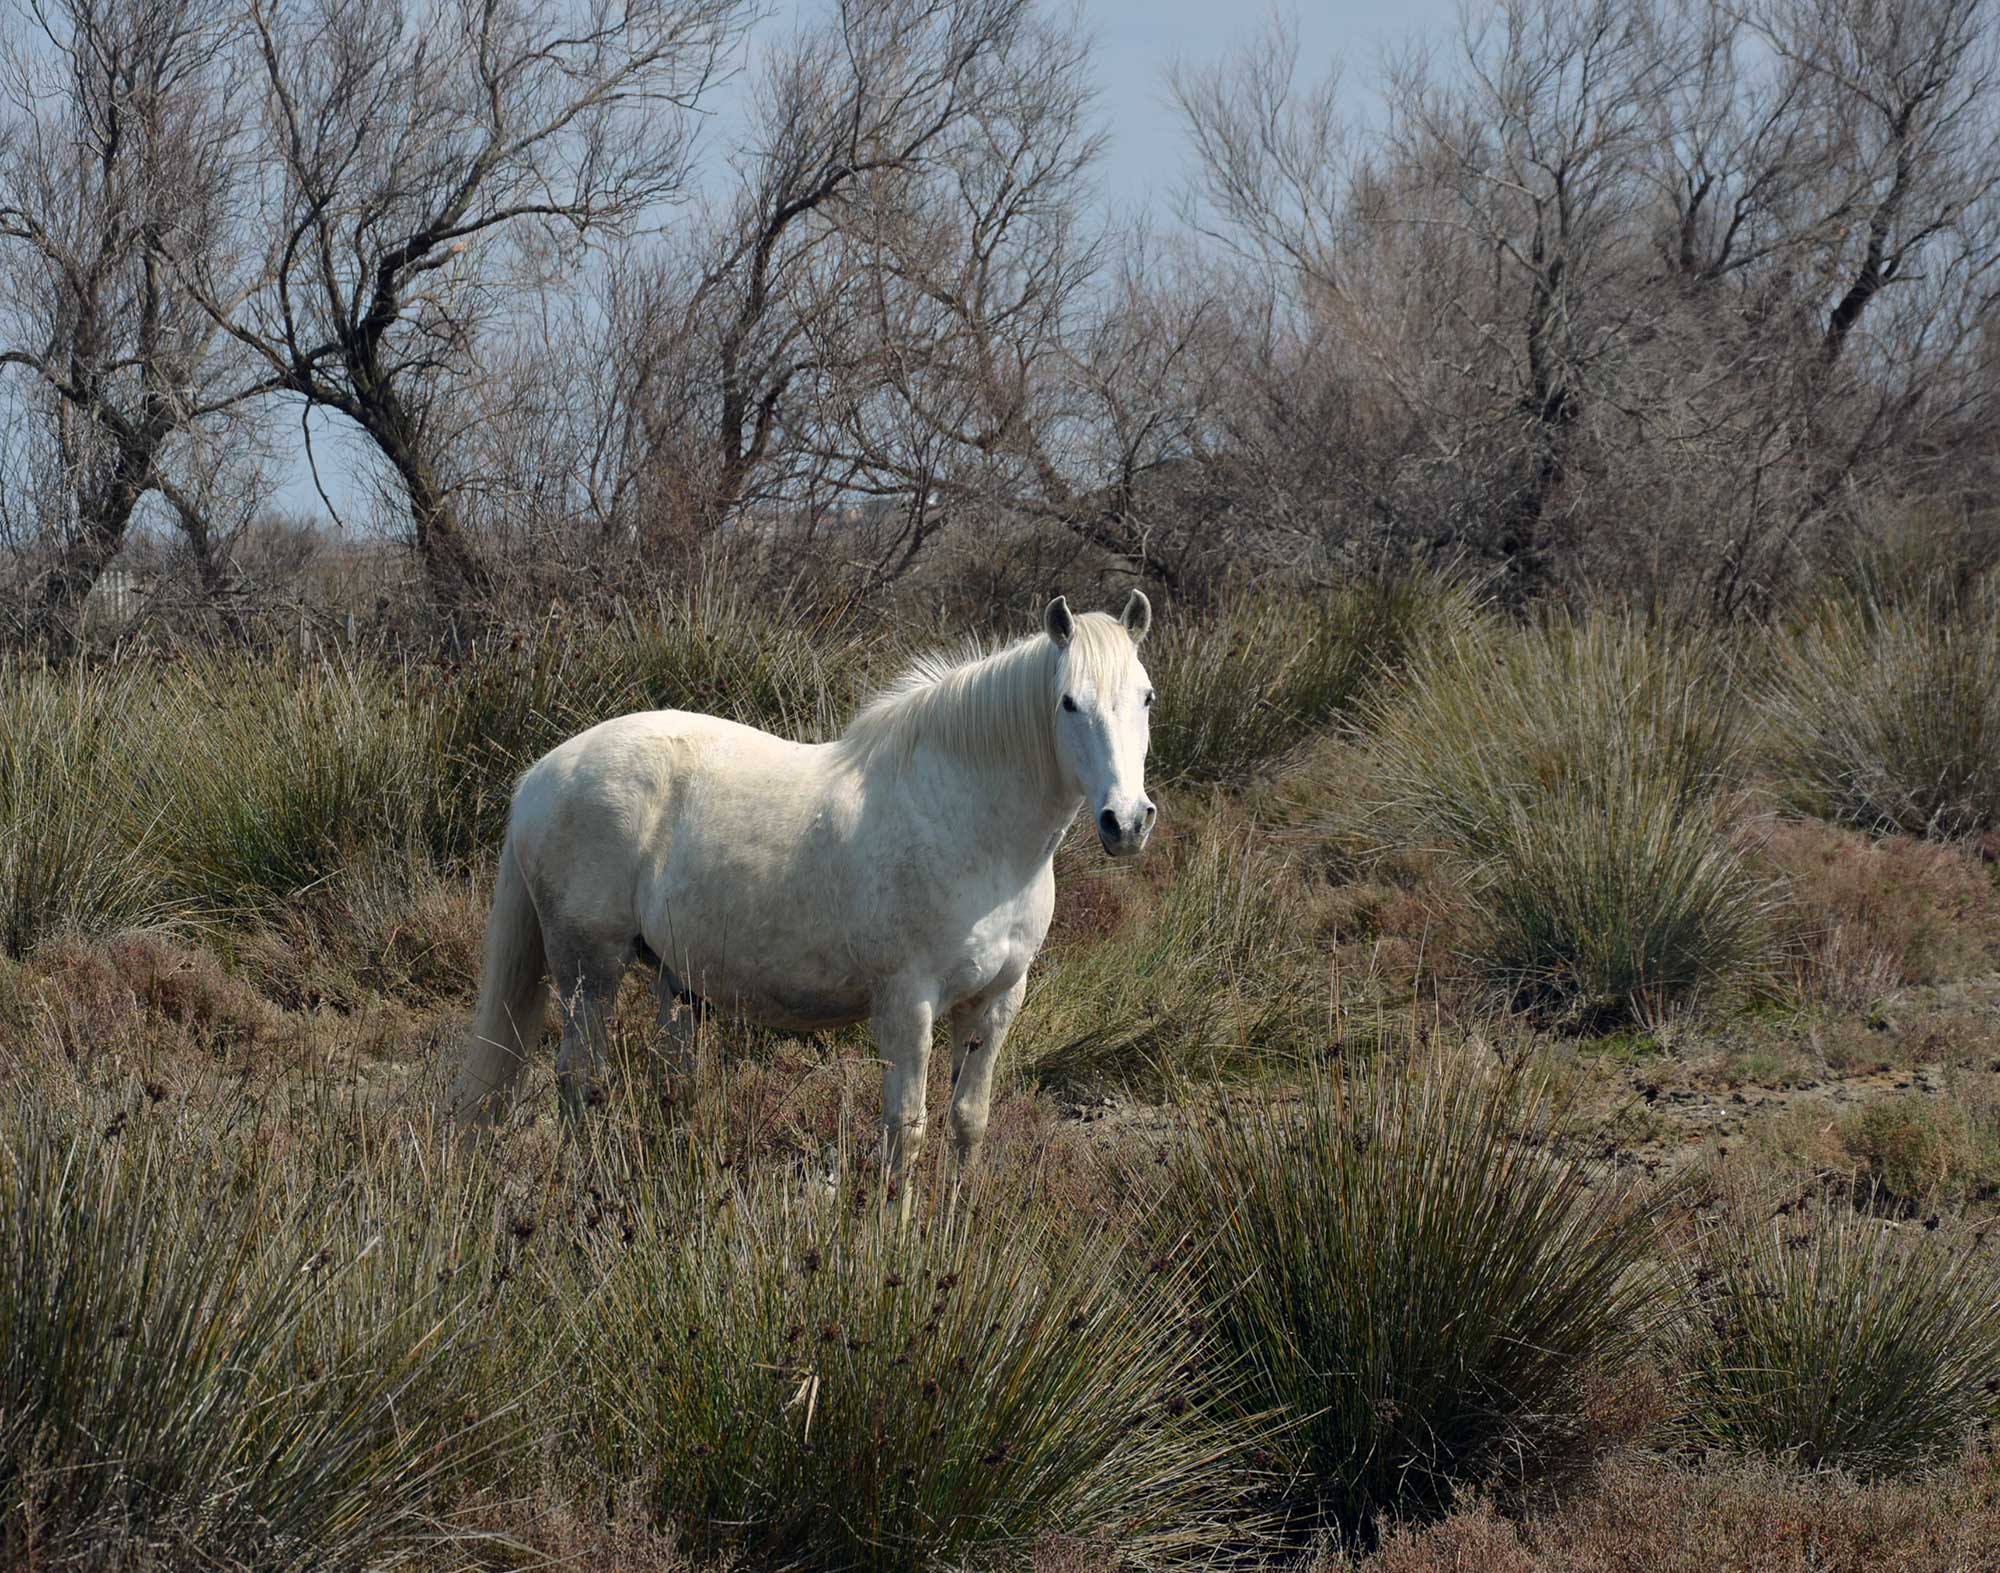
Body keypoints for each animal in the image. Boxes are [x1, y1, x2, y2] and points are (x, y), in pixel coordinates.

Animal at [450, 588, 1160, 1176]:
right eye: (1068, 702)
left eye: (1147, 697)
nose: (1126, 821)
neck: (968, 820)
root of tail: (543, 773)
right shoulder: (908, 1003)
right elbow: (905, 1131)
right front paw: (894, 1242)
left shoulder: (998, 1000)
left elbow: (968, 1122)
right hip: (588, 971)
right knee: (577, 1079)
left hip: (675, 980)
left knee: (669, 1083)